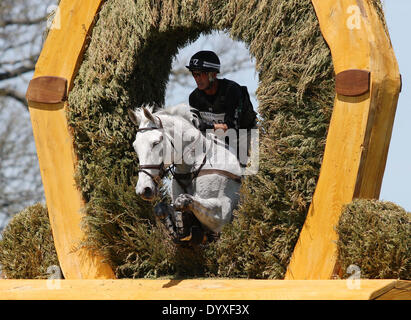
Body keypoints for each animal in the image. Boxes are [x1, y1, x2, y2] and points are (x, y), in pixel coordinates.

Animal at [129, 105, 243, 245]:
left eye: (156, 143)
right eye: (135, 146)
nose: (144, 190)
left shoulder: (224, 211)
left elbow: (184, 201)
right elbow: (161, 209)